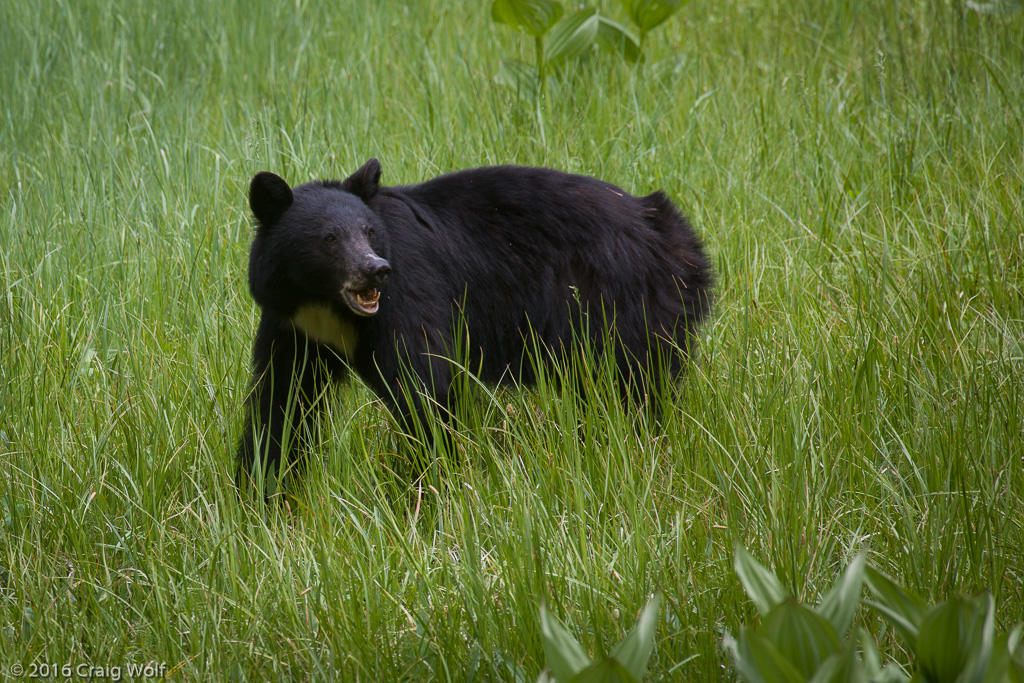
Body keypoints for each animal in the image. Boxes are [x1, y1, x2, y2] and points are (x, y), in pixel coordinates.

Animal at [234, 160, 712, 491]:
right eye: (329, 239)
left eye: (369, 232)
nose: (376, 270)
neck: (325, 304)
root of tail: (672, 229)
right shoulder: (293, 326)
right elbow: (281, 401)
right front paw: (260, 491)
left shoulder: (407, 297)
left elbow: (424, 385)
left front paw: (427, 486)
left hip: (619, 304)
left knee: (631, 387)